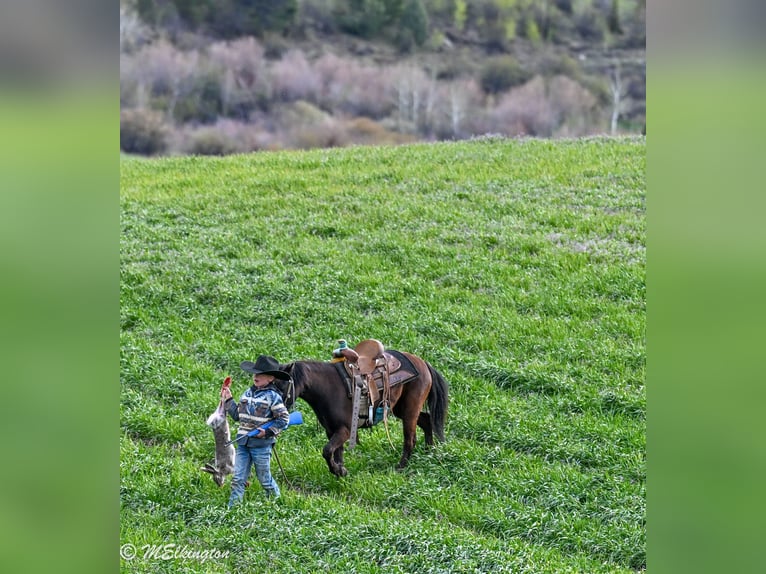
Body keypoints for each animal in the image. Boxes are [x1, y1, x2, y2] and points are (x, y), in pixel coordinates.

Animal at [276, 349, 448, 477]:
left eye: (281, 385)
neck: (328, 388)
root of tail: (423, 363)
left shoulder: (344, 430)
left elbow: (327, 450)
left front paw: (338, 471)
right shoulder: (332, 431)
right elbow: (335, 452)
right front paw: (341, 471)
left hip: (409, 411)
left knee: (410, 439)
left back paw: (401, 467)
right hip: (401, 409)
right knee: (427, 421)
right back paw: (429, 451)